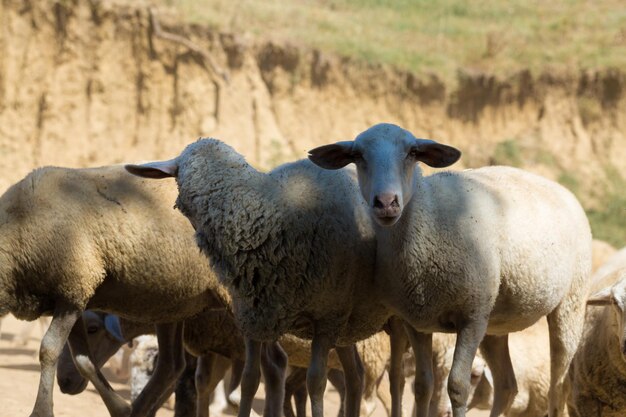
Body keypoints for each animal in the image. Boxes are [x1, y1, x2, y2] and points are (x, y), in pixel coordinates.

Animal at [0, 164, 243, 416]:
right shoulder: (73, 296)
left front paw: (41, 410)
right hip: (174, 305)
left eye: (94, 329)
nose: (65, 384)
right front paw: (120, 407)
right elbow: (82, 359)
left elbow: (48, 350)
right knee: (171, 364)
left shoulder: (73, 288)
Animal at [124, 137, 392, 417]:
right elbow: (249, 379)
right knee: (356, 376)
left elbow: (315, 382)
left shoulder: (326, 318)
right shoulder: (253, 316)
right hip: (347, 324)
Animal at [310, 121, 592, 416]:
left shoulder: (471, 316)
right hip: (494, 321)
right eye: (358, 156)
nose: (386, 202)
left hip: (569, 303)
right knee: (507, 384)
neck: (428, 220)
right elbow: (423, 386)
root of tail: (561, 189)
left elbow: (457, 386)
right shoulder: (417, 321)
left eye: (412, 152)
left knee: (557, 385)